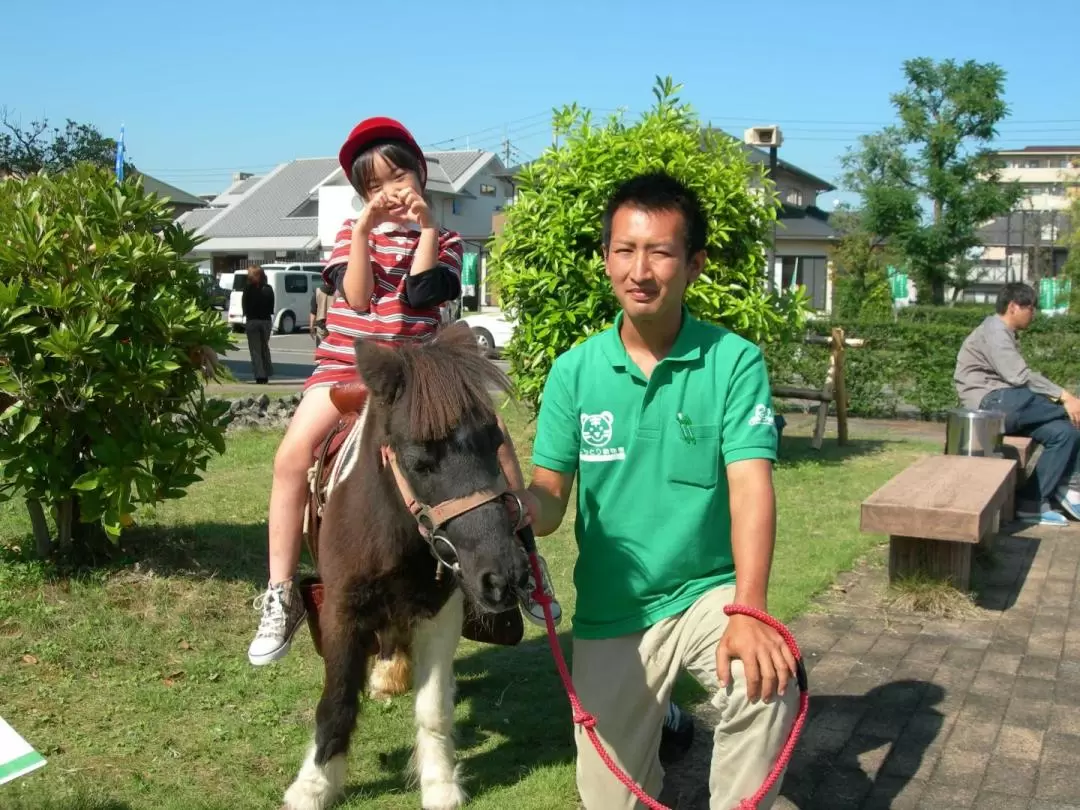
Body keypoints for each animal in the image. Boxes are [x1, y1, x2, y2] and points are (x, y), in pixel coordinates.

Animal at [282, 324, 527, 810]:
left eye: (496, 443)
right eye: (418, 461)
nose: (504, 577)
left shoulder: (441, 609)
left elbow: (432, 708)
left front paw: (440, 782)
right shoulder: (340, 610)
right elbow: (337, 702)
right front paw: (315, 785)